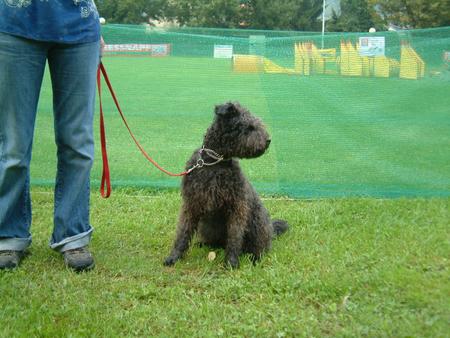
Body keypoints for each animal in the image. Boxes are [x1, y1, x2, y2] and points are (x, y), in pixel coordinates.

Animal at [164, 101, 288, 268]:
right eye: (249, 127)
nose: (268, 140)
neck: (214, 164)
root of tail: (271, 229)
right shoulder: (191, 204)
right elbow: (183, 232)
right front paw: (174, 256)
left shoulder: (237, 207)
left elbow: (235, 237)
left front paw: (231, 262)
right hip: (206, 226)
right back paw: (203, 244)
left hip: (257, 223)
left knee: (259, 247)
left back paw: (255, 258)